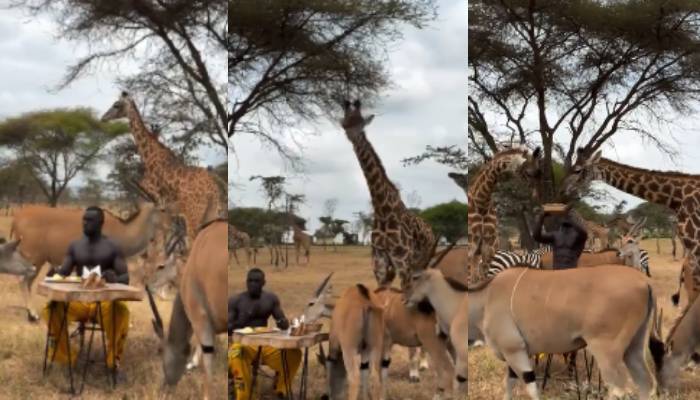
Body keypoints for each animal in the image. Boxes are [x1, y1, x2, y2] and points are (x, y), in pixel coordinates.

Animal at [101, 93, 226, 244]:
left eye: (116, 105)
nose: (103, 118)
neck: (149, 159)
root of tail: (214, 188)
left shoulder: (154, 201)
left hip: (194, 214)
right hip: (212, 213)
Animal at [340, 99, 438, 290]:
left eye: (360, 123)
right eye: (345, 123)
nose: (352, 136)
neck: (383, 211)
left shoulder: (403, 263)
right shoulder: (380, 264)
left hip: (421, 262)